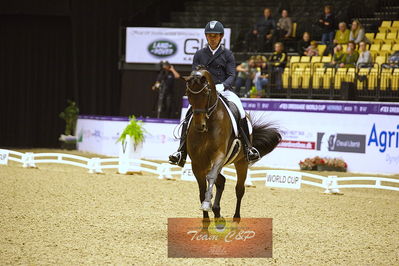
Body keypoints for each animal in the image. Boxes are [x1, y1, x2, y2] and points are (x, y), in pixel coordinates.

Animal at [184, 68, 282, 220]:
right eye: (188, 94)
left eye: (206, 93)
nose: (200, 126)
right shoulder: (198, 163)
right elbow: (202, 190)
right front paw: (205, 217)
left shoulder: (219, 155)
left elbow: (211, 177)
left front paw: (207, 204)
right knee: (222, 181)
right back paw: (217, 212)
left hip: (241, 162)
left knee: (239, 189)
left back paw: (236, 217)